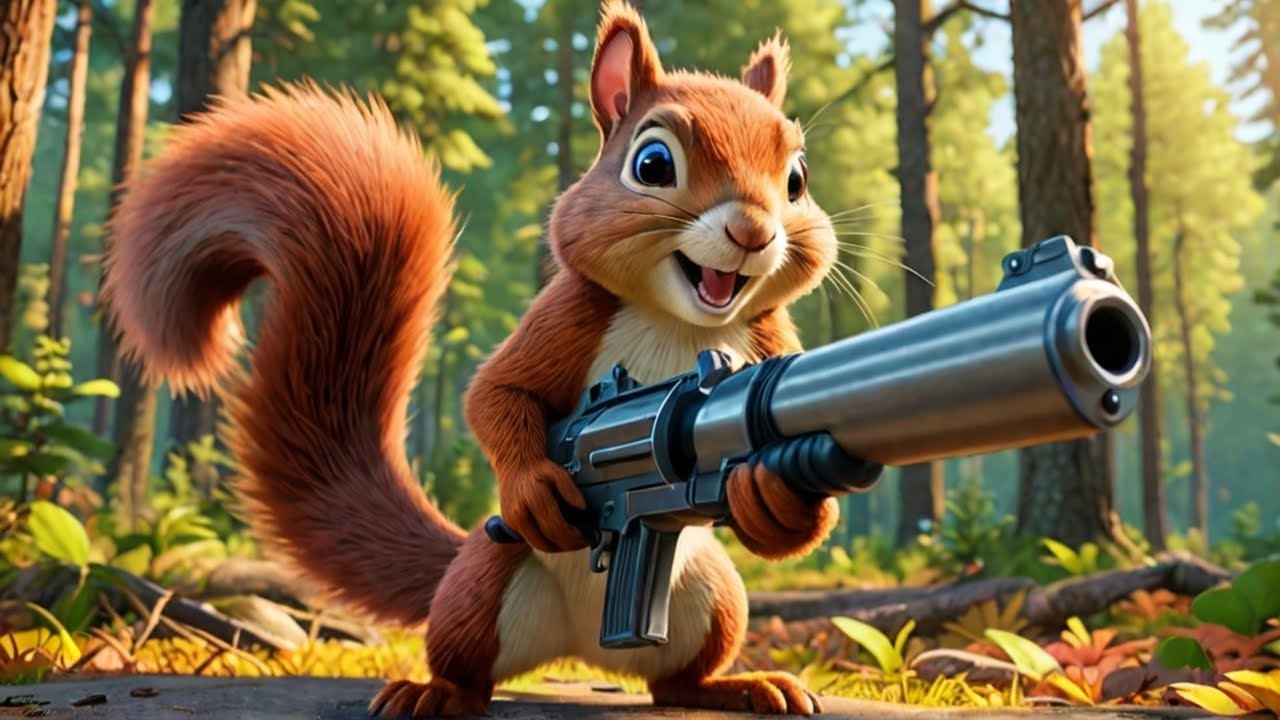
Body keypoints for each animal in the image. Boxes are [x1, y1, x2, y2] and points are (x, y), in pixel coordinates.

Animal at [101, 1, 874, 717]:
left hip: (712, 595)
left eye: (797, 178)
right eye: (652, 165)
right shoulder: (570, 313)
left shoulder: (769, 340)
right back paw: (433, 691)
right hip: (483, 583)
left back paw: (743, 684)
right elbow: (496, 394)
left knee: (672, 682)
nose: (753, 231)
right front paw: (533, 486)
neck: (680, 322)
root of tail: (581, 651)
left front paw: (775, 500)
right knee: (469, 662)